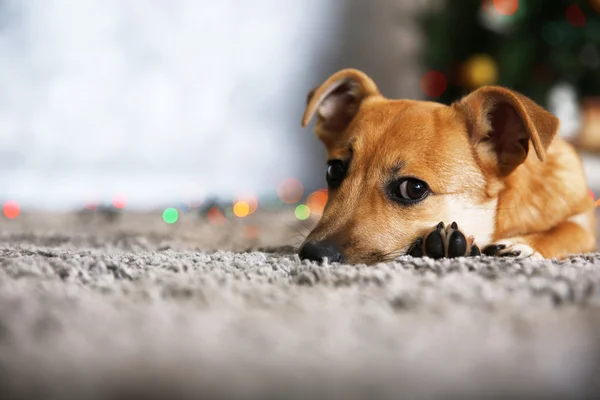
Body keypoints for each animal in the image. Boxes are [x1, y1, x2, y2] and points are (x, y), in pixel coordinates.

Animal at [298, 68, 596, 266]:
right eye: (333, 171)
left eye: (413, 189)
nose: (312, 255)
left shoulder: (586, 219)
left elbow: (569, 231)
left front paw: (524, 245)